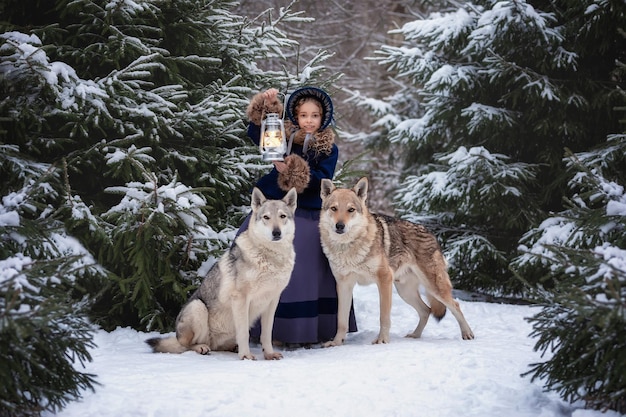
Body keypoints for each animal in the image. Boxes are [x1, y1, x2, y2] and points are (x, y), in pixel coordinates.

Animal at [145, 187, 296, 360]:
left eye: (282, 216)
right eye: (266, 217)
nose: (276, 232)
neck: (271, 258)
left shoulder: (272, 301)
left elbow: (266, 334)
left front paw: (269, 354)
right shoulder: (240, 299)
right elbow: (244, 333)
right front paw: (246, 356)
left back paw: (231, 347)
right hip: (198, 307)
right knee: (187, 346)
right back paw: (202, 348)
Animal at [316, 177, 472, 346]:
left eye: (350, 210)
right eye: (334, 208)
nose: (340, 225)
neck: (347, 247)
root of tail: (431, 233)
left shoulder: (384, 280)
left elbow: (384, 316)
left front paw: (382, 340)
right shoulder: (344, 285)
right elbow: (341, 320)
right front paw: (336, 343)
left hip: (433, 289)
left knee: (455, 305)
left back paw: (468, 334)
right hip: (405, 291)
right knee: (426, 310)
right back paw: (415, 335)